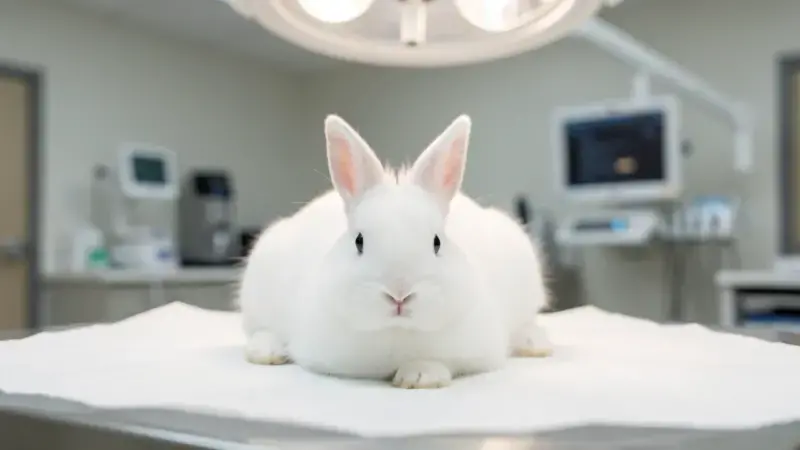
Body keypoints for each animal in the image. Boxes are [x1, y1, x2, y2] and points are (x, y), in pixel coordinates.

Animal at [237, 114, 552, 389]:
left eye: (437, 242)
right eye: (359, 241)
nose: (399, 294)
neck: (397, 332)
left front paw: (421, 375)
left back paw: (535, 344)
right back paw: (267, 351)